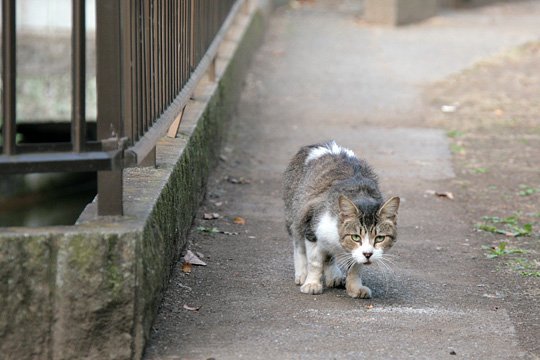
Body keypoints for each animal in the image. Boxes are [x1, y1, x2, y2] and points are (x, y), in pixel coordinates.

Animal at [284, 141, 398, 298]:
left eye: (380, 238)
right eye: (356, 237)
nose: (368, 254)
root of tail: (319, 144)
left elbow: (355, 266)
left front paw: (355, 288)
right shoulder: (311, 226)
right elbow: (315, 262)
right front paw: (312, 283)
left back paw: (334, 275)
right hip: (297, 213)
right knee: (298, 243)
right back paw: (302, 273)